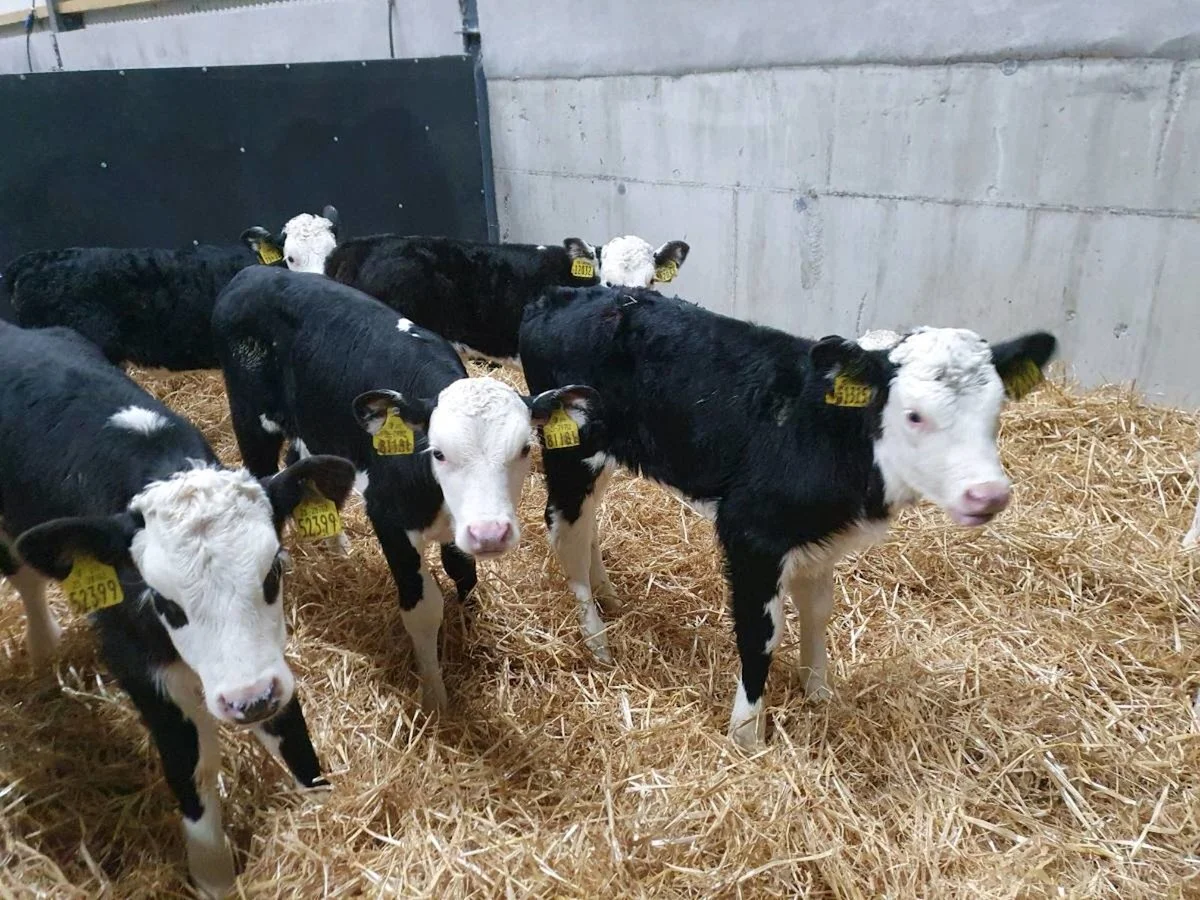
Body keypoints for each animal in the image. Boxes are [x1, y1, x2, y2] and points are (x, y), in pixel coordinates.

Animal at [0, 320, 355, 896]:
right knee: (24, 574)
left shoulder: (266, 666)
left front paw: (326, 811)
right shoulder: (139, 664)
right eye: (164, 602)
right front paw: (214, 876)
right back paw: (42, 647)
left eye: (273, 573)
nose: (249, 701)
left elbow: (293, 733)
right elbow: (191, 765)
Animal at [210, 266, 596, 710]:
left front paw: (467, 631)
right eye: (439, 453)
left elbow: (464, 574)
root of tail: (252, 272)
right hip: (252, 422)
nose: (490, 533)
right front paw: (436, 700)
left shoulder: (456, 528)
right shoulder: (388, 519)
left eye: (525, 448)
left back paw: (338, 546)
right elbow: (422, 608)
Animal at [518, 285, 1057, 749]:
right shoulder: (752, 535)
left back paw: (608, 594)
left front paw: (819, 694)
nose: (988, 494)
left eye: (996, 409)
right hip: (572, 452)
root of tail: (568, 294)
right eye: (914, 415)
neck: (827, 431)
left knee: (588, 524)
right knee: (564, 531)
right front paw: (747, 736)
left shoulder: (819, 539)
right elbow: (761, 635)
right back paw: (597, 640)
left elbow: (818, 611)